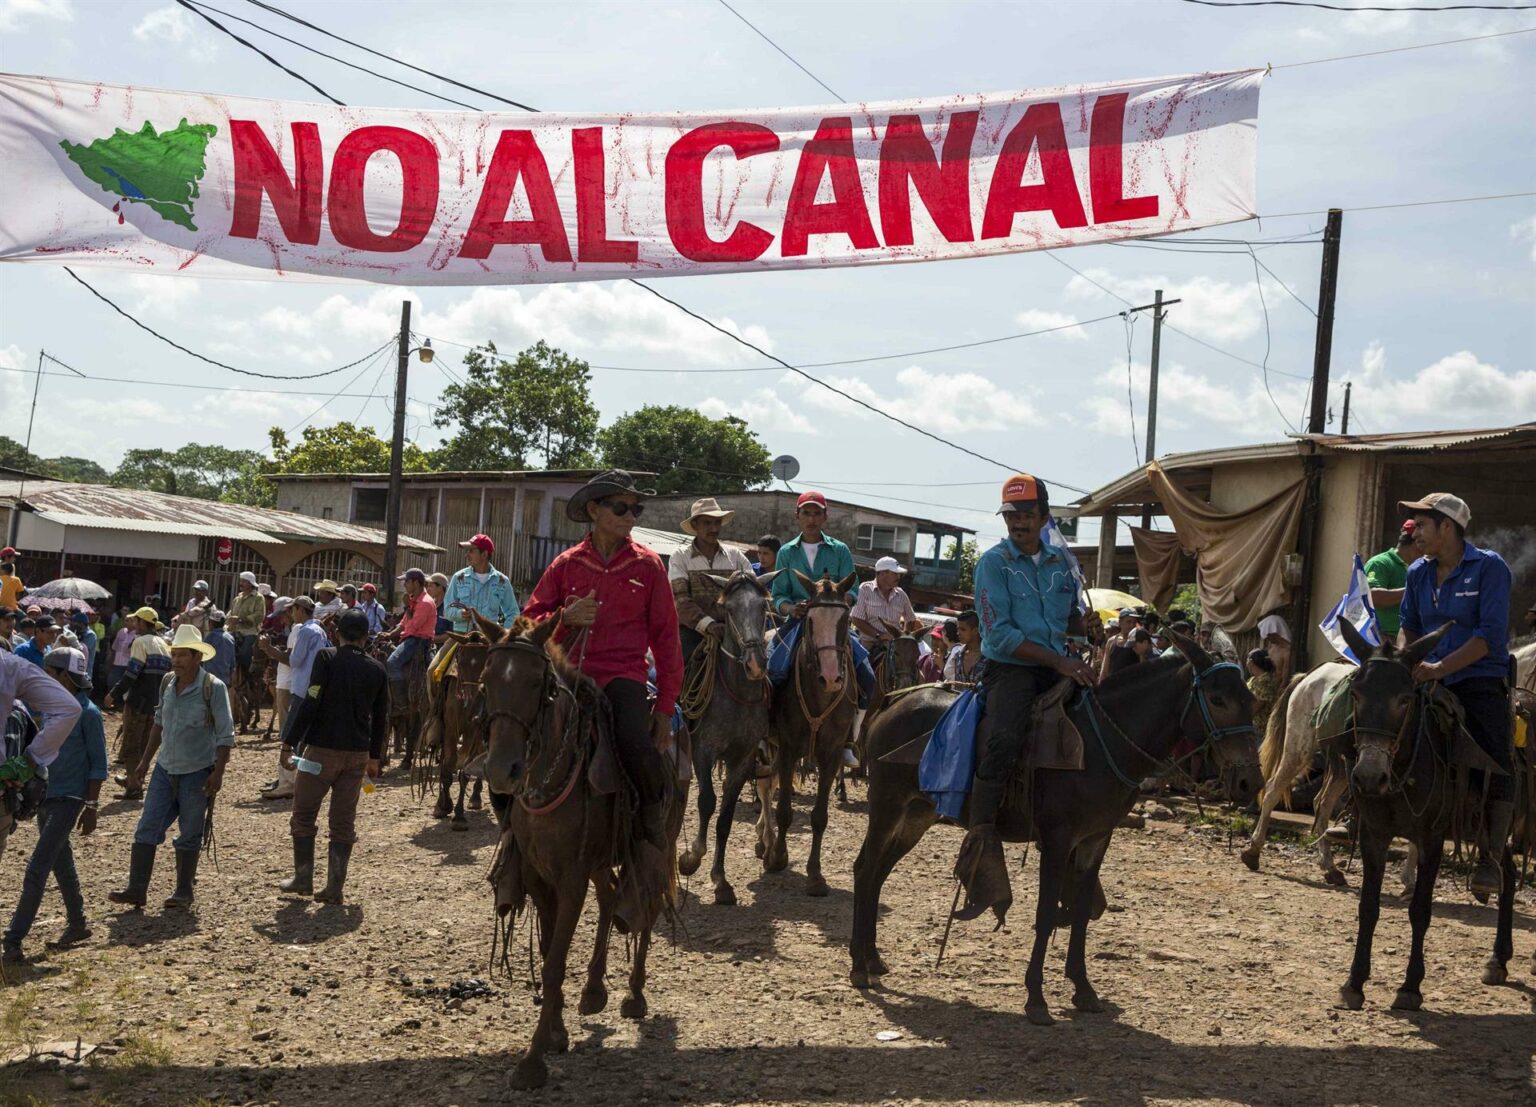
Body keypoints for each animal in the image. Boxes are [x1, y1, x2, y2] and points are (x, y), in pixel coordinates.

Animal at [482, 617, 688, 1093]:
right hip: (599, 860)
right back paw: (595, 990)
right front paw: (557, 1032)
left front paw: (533, 1061)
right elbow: (547, 947)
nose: (502, 770)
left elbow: (556, 961)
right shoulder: (540, 878)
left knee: (646, 907)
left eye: (537, 684)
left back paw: (634, 993)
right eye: (486, 679)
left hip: (653, 846)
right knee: (611, 895)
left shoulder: (571, 879)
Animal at [761, 574, 860, 896]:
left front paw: (815, 875)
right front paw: (778, 856)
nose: (830, 678)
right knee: (765, 789)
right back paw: (765, 843)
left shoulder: (830, 756)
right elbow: (784, 810)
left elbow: (819, 817)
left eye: (846, 620)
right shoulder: (788, 749)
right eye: (810, 620)